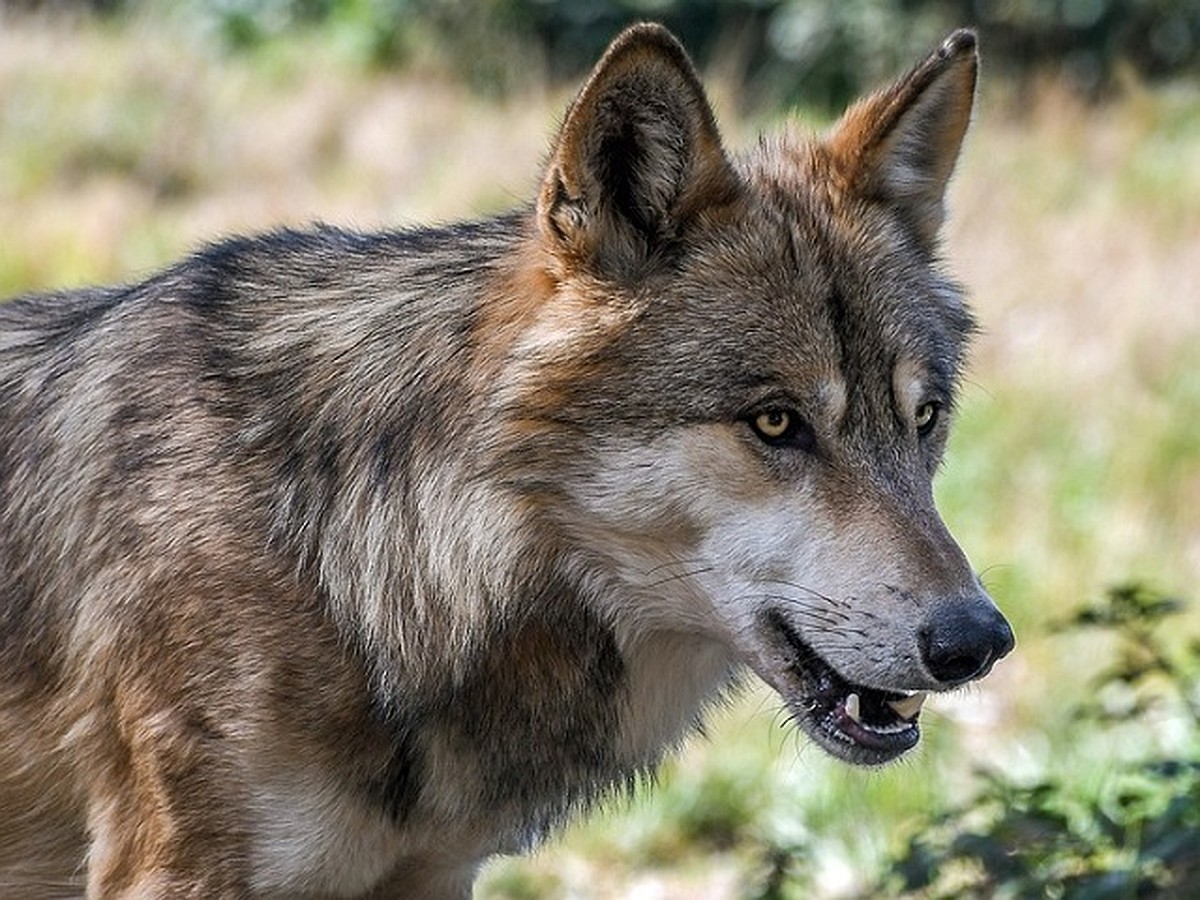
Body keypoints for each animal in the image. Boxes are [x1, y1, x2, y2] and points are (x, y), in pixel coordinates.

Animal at [0, 21, 1012, 900]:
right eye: (775, 423)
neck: (345, 563)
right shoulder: (173, 871)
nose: (978, 641)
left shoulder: (436, 877)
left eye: (924, 419)